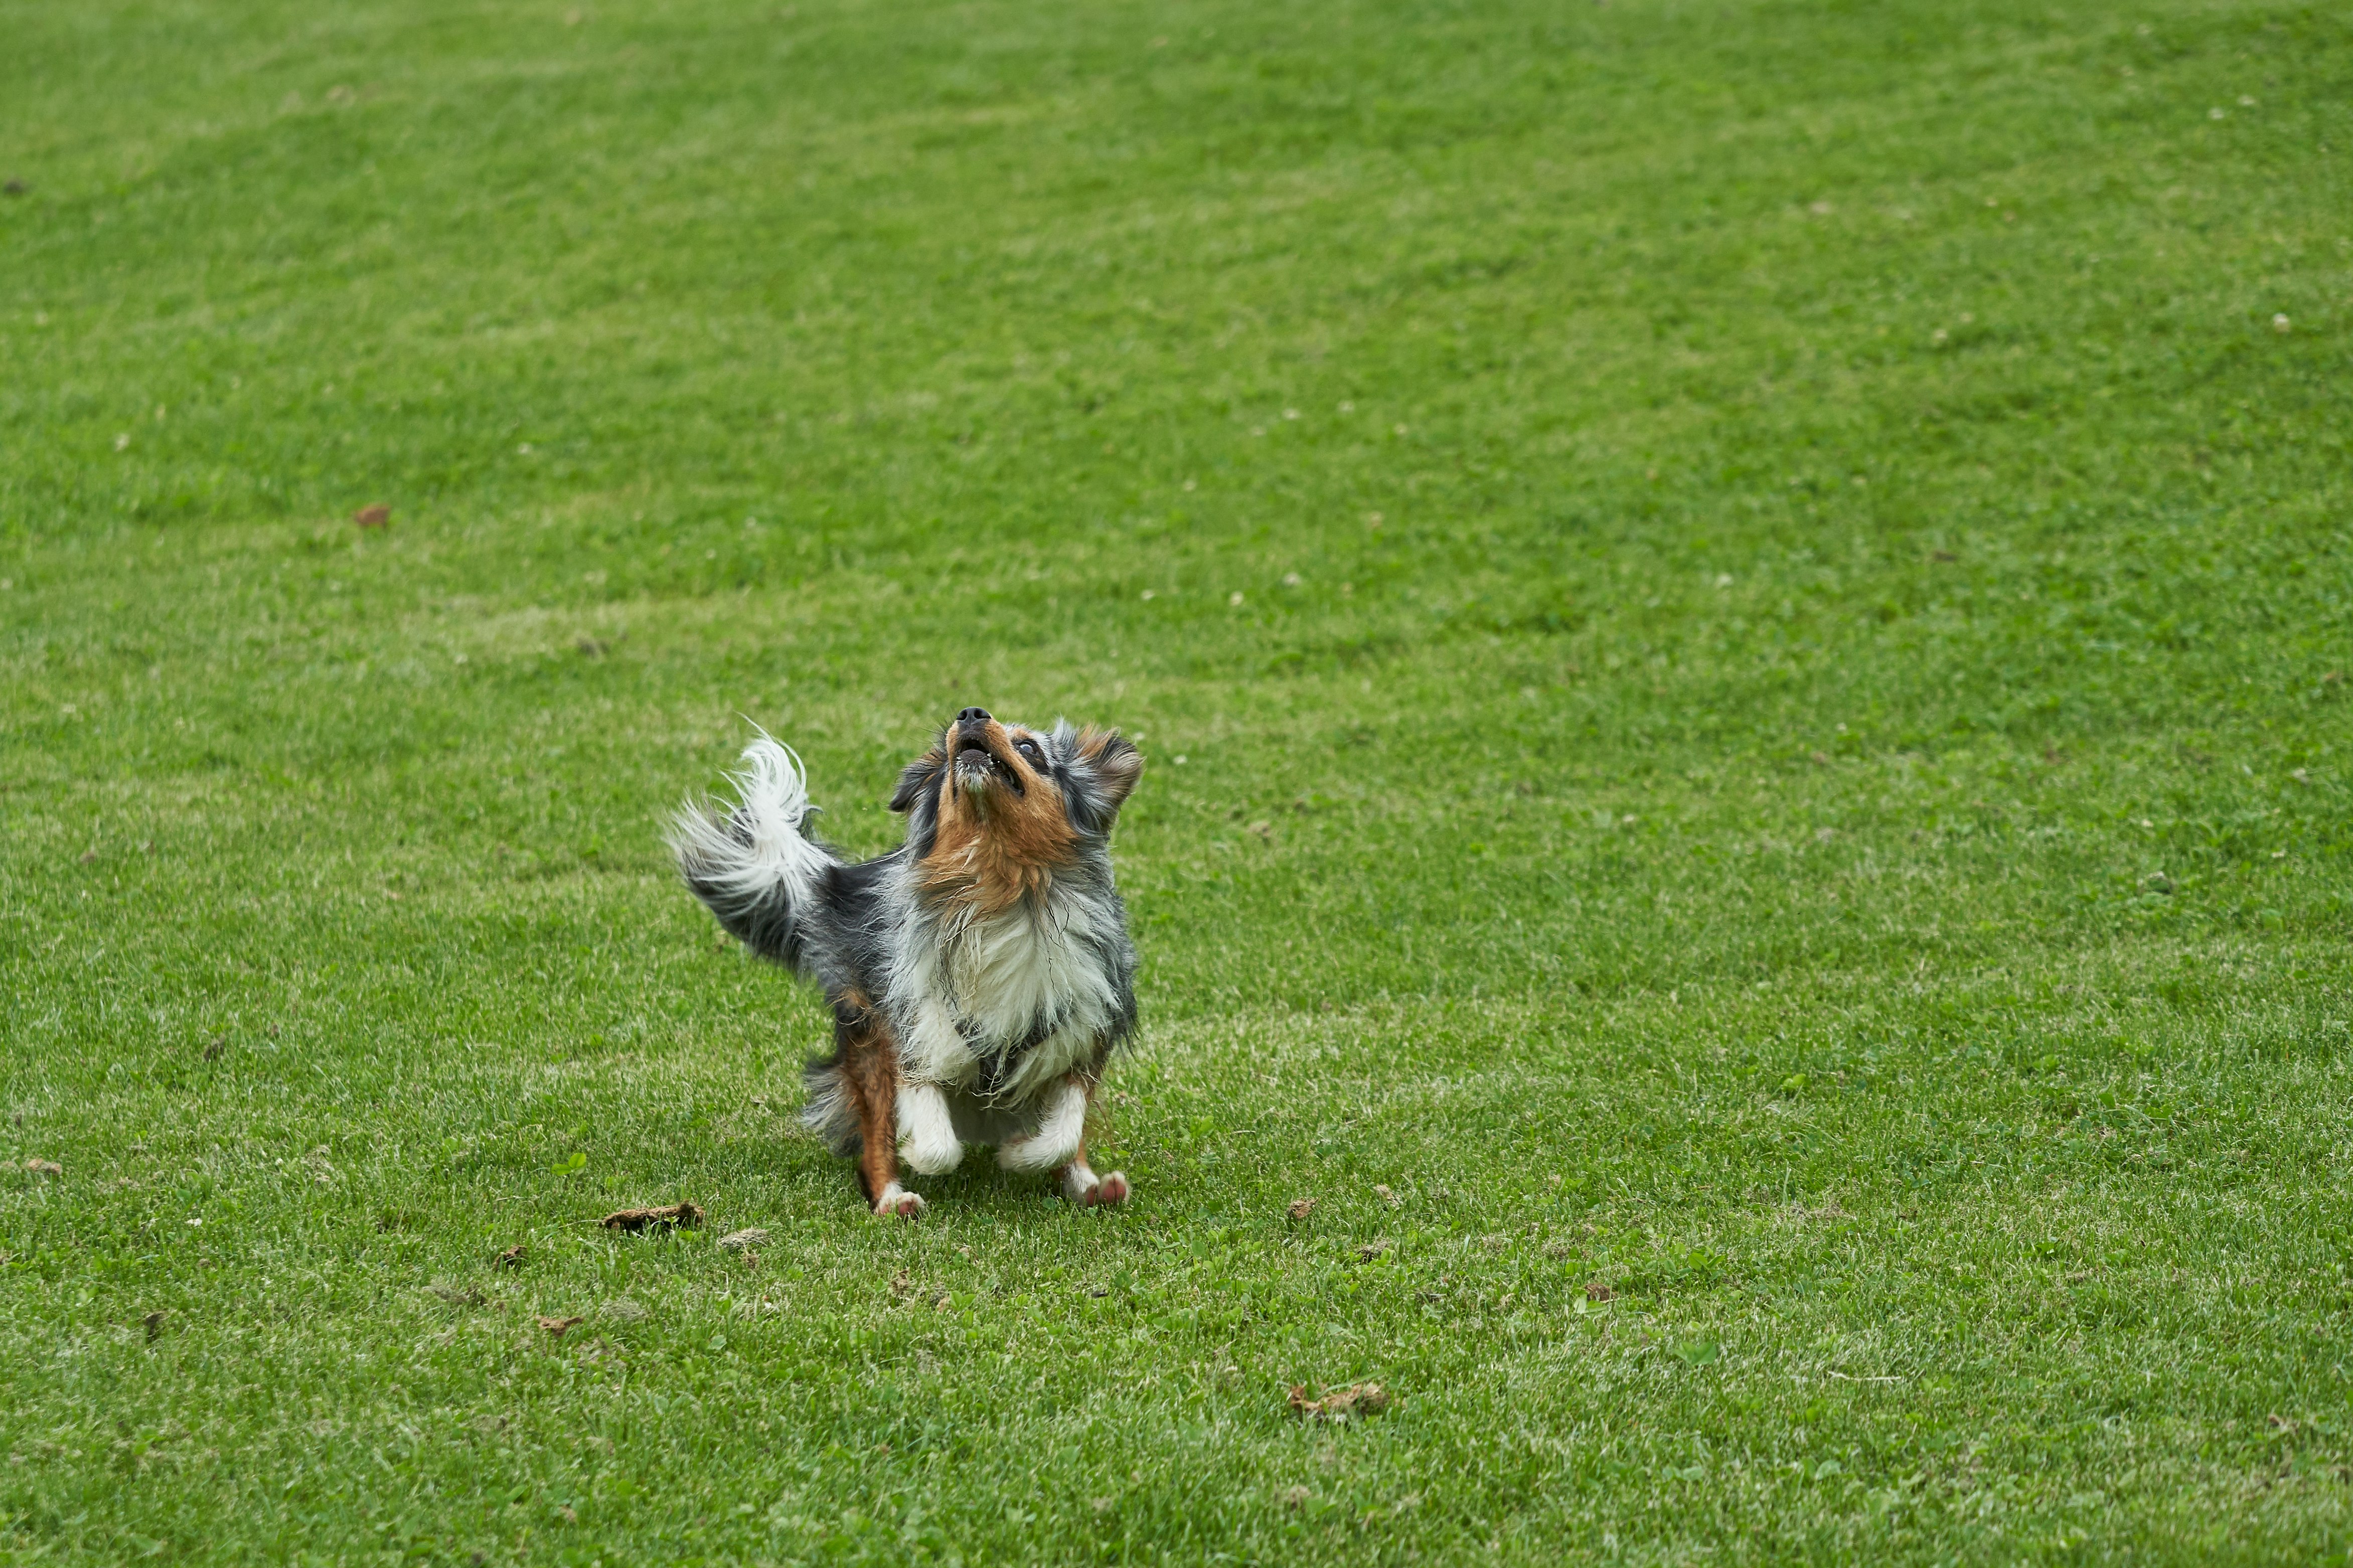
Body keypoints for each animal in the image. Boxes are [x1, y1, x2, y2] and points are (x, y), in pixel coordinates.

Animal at [668, 710, 1143, 1213]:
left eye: (1030, 748)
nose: (971, 714)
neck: (1002, 888)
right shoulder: (912, 1033)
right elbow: (937, 1142)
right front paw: (920, 1153)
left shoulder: (1083, 1034)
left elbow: (1063, 1132)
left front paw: (1019, 1154)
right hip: (865, 1034)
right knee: (876, 1128)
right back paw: (892, 1199)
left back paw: (1091, 1186)